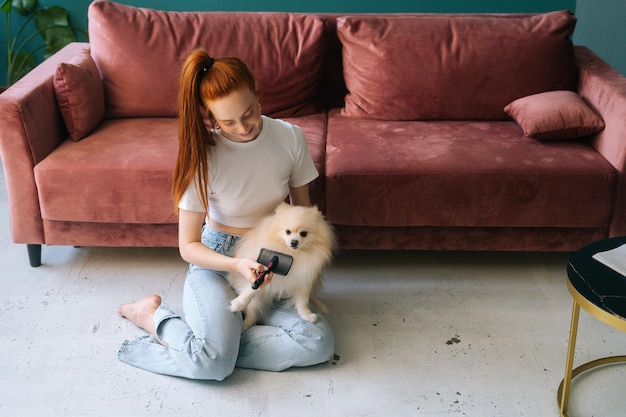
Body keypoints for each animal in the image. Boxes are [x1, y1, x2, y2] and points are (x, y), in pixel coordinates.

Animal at [227, 202, 334, 332]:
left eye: (304, 233)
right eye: (288, 231)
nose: (294, 242)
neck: (292, 254)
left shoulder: (303, 278)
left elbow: (303, 301)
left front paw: (306, 314)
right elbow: (250, 290)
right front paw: (237, 304)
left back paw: (320, 305)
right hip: (259, 297)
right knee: (252, 312)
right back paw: (245, 326)